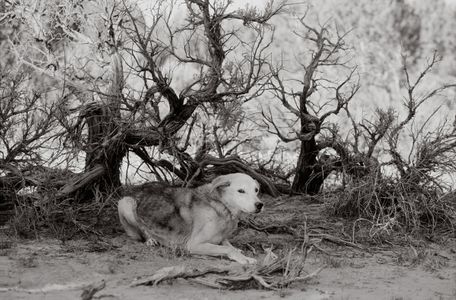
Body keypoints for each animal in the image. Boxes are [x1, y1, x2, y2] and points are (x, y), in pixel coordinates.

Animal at [116, 172, 264, 264]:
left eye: (256, 190)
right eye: (241, 191)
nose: (260, 205)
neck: (221, 206)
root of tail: (140, 186)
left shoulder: (221, 238)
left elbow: (228, 244)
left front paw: (240, 251)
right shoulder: (194, 244)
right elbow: (227, 249)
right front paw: (244, 258)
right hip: (125, 202)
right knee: (141, 231)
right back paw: (151, 239)